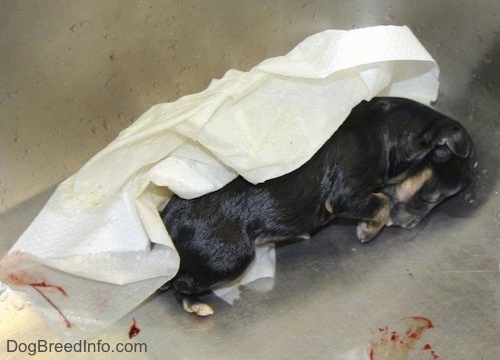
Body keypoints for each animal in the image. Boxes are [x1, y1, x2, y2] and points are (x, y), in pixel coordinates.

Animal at [162, 96, 474, 316]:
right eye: (432, 198)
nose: (410, 226)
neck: (386, 129)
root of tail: (167, 223)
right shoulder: (345, 195)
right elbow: (382, 202)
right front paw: (369, 230)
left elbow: (382, 199)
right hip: (230, 257)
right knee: (179, 282)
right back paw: (195, 304)